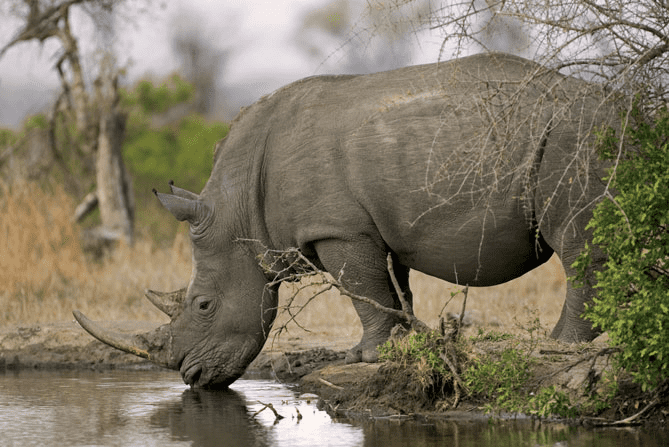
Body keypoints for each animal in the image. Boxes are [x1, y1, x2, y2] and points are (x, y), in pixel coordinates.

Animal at [74, 52, 621, 388]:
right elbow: (393, 288)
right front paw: (402, 346)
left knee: (576, 241)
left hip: (574, 138)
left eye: (204, 305)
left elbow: (362, 289)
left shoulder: (338, 229)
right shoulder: (373, 226)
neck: (237, 208)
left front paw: (364, 358)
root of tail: (626, 108)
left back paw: (556, 347)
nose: (191, 378)